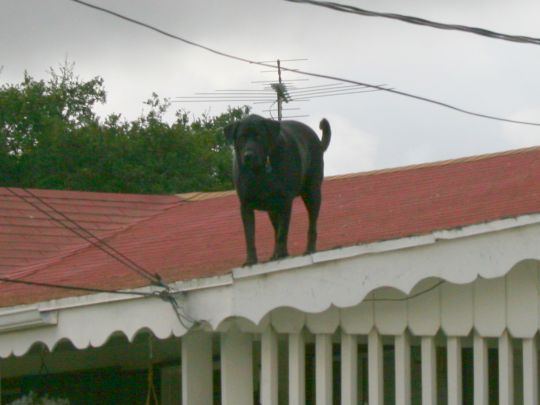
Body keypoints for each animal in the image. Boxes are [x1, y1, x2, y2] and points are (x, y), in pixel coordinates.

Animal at [224, 113, 330, 266]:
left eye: (259, 136)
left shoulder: (284, 201)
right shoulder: (245, 205)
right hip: (272, 210)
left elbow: (282, 232)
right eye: (241, 137)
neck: (259, 172)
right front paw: (251, 260)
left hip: (312, 193)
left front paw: (281, 253)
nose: (248, 155)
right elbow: (250, 236)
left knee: (312, 225)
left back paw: (309, 249)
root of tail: (318, 142)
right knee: (275, 230)